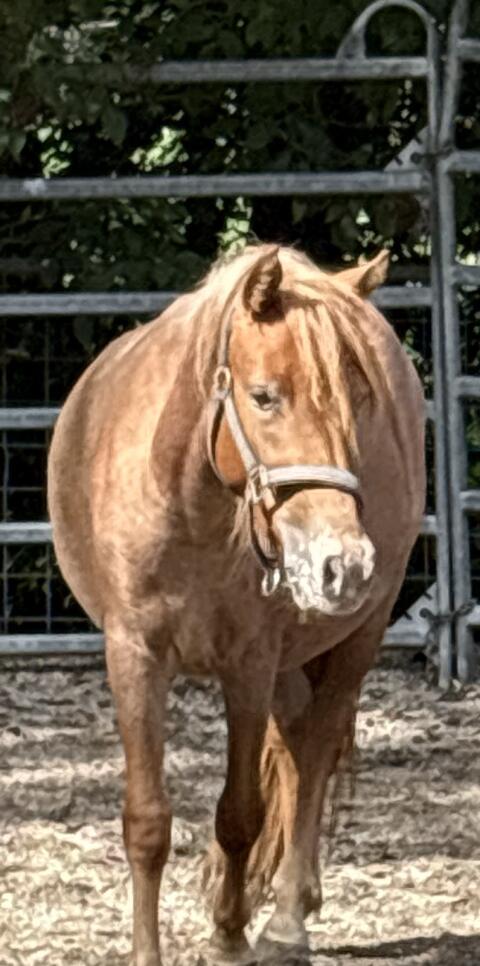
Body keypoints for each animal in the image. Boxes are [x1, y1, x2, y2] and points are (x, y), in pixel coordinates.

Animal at [47, 243, 425, 966]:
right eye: (264, 397)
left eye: (359, 401)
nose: (344, 564)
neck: (192, 511)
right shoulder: (134, 657)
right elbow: (147, 821)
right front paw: (150, 950)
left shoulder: (248, 663)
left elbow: (240, 812)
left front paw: (229, 934)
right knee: (299, 741)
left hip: (355, 637)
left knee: (314, 749)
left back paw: (285, 918)